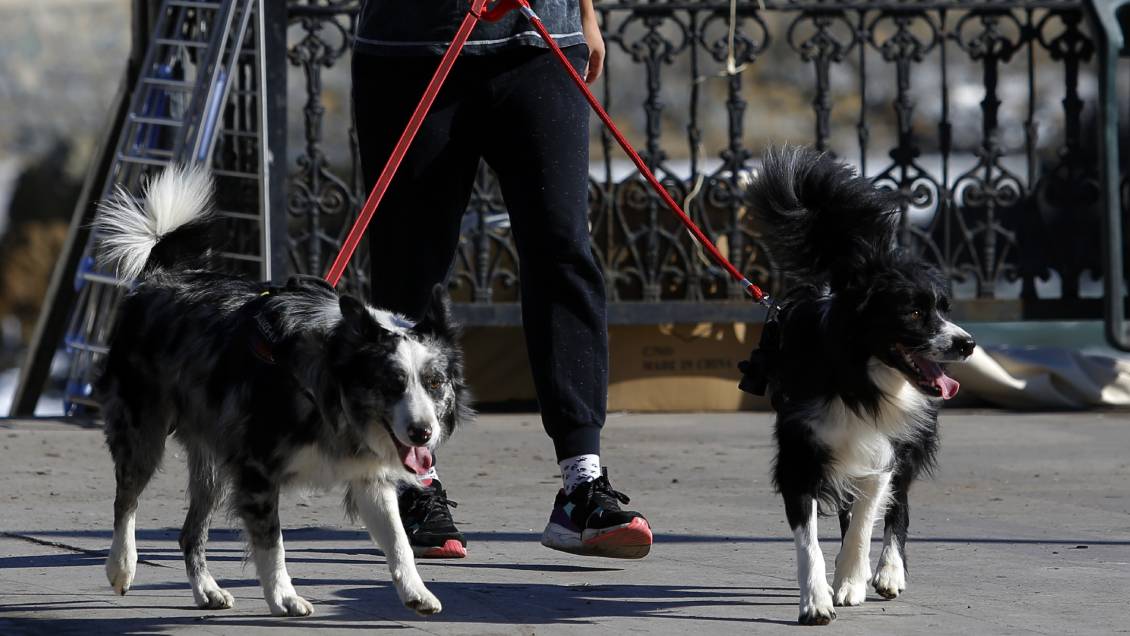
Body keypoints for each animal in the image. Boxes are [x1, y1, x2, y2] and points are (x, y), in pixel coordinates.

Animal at [91, 163, 472, 619]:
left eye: (435, 383)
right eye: (392, 383)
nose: (422, 433)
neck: (330, 375)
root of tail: (161, 276)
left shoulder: (369, 477)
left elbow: (398, 541)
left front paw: (415, 591)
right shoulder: (256, 471)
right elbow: (272, 542)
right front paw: (283, 597)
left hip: (213, 461)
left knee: (189, 531)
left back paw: (206, 589)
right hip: (142, 430)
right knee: (125, 500)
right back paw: (121, 565)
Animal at [741, 147, 980, 628]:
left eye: (944, 308)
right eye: (914, 312)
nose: (968, 344)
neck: (858, 375)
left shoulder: (884, 446)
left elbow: (869, 516)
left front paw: (852, 580)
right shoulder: (801, 453)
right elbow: (810, 540)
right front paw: (816, 601)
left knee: (896, 506)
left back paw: (887, 572)